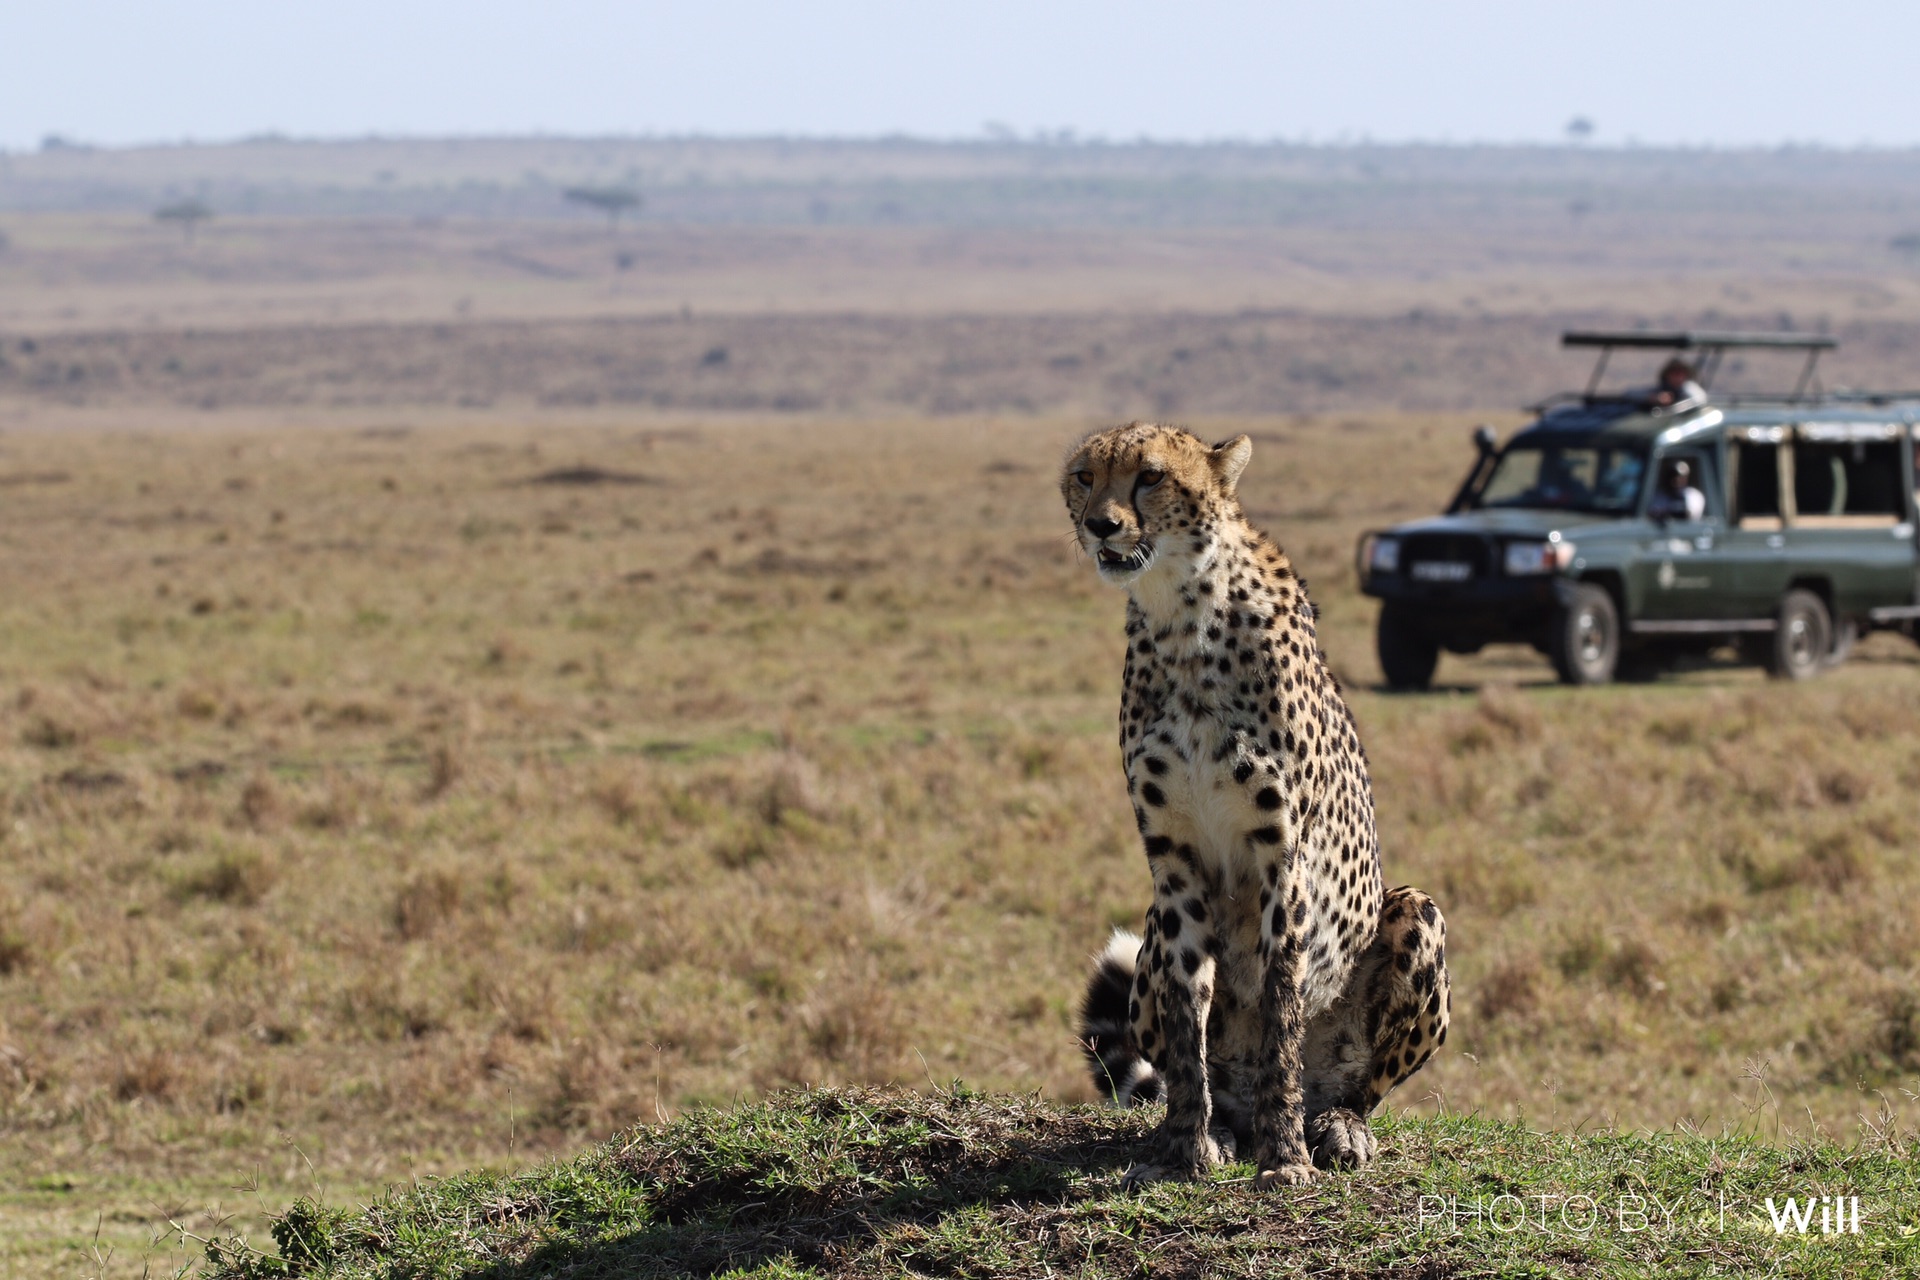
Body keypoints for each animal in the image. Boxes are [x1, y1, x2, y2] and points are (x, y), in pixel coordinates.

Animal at [1059, 422, 1443, 1189]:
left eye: (1150, 477)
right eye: (1085, 476)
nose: (1101, 526)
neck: (1182, 619)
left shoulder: (1281, 856)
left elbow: (1281, 1004)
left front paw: (1286, 1156)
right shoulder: (1173, 858)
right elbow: (1187, 1011)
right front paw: (1183, 1146)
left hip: (1417, 914)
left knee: (1359, 1086)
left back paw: (1333, 1125)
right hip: (1150, 931)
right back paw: (1224, 1125)